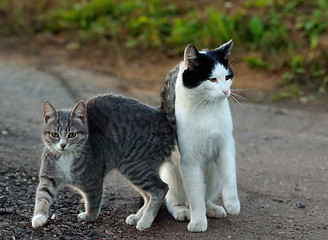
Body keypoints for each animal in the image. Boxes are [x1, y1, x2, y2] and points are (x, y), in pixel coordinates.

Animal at [32, 94, 176, 231]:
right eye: (55, 134)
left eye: (72, 134)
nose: (62, 145)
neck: (66, 156)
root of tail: (162, 117)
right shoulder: (48, 176)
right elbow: (43, 195)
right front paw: (39, 217)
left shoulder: (93, 180)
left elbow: (93, 201)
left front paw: (89, 217)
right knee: (148, 195)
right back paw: (137, 217)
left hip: (135, 166)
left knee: (161, 189)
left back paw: (145, 221)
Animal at [160, 40, 240, 232]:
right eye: (212, 79)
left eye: (227, 77)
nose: (225, 91)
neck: (207, 108)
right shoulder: (189, 160)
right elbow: (195, 194)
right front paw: (197, 221)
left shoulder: (226, 146)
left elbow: (230, 177)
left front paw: (233, 204)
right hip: (171, 173)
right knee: (173, 199)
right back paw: (182, 210)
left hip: (213, 174)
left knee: (205, 194)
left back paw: (211, 208)